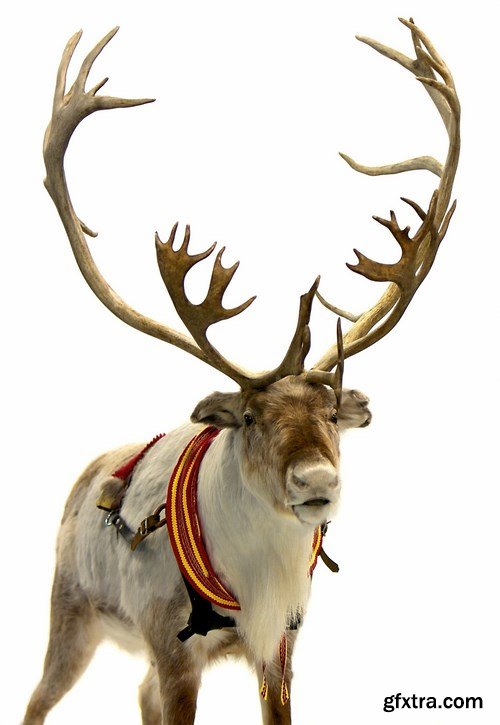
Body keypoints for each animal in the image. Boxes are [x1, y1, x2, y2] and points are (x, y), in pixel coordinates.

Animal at [24, 17, 460, 725]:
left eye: (333, 413)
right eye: (251, 417)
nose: (317, 481)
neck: (255, 577)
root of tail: (83, 475)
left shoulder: (279, 646)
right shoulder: (173, 647)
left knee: (135, 692)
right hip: (72, 613)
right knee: (39, 697)